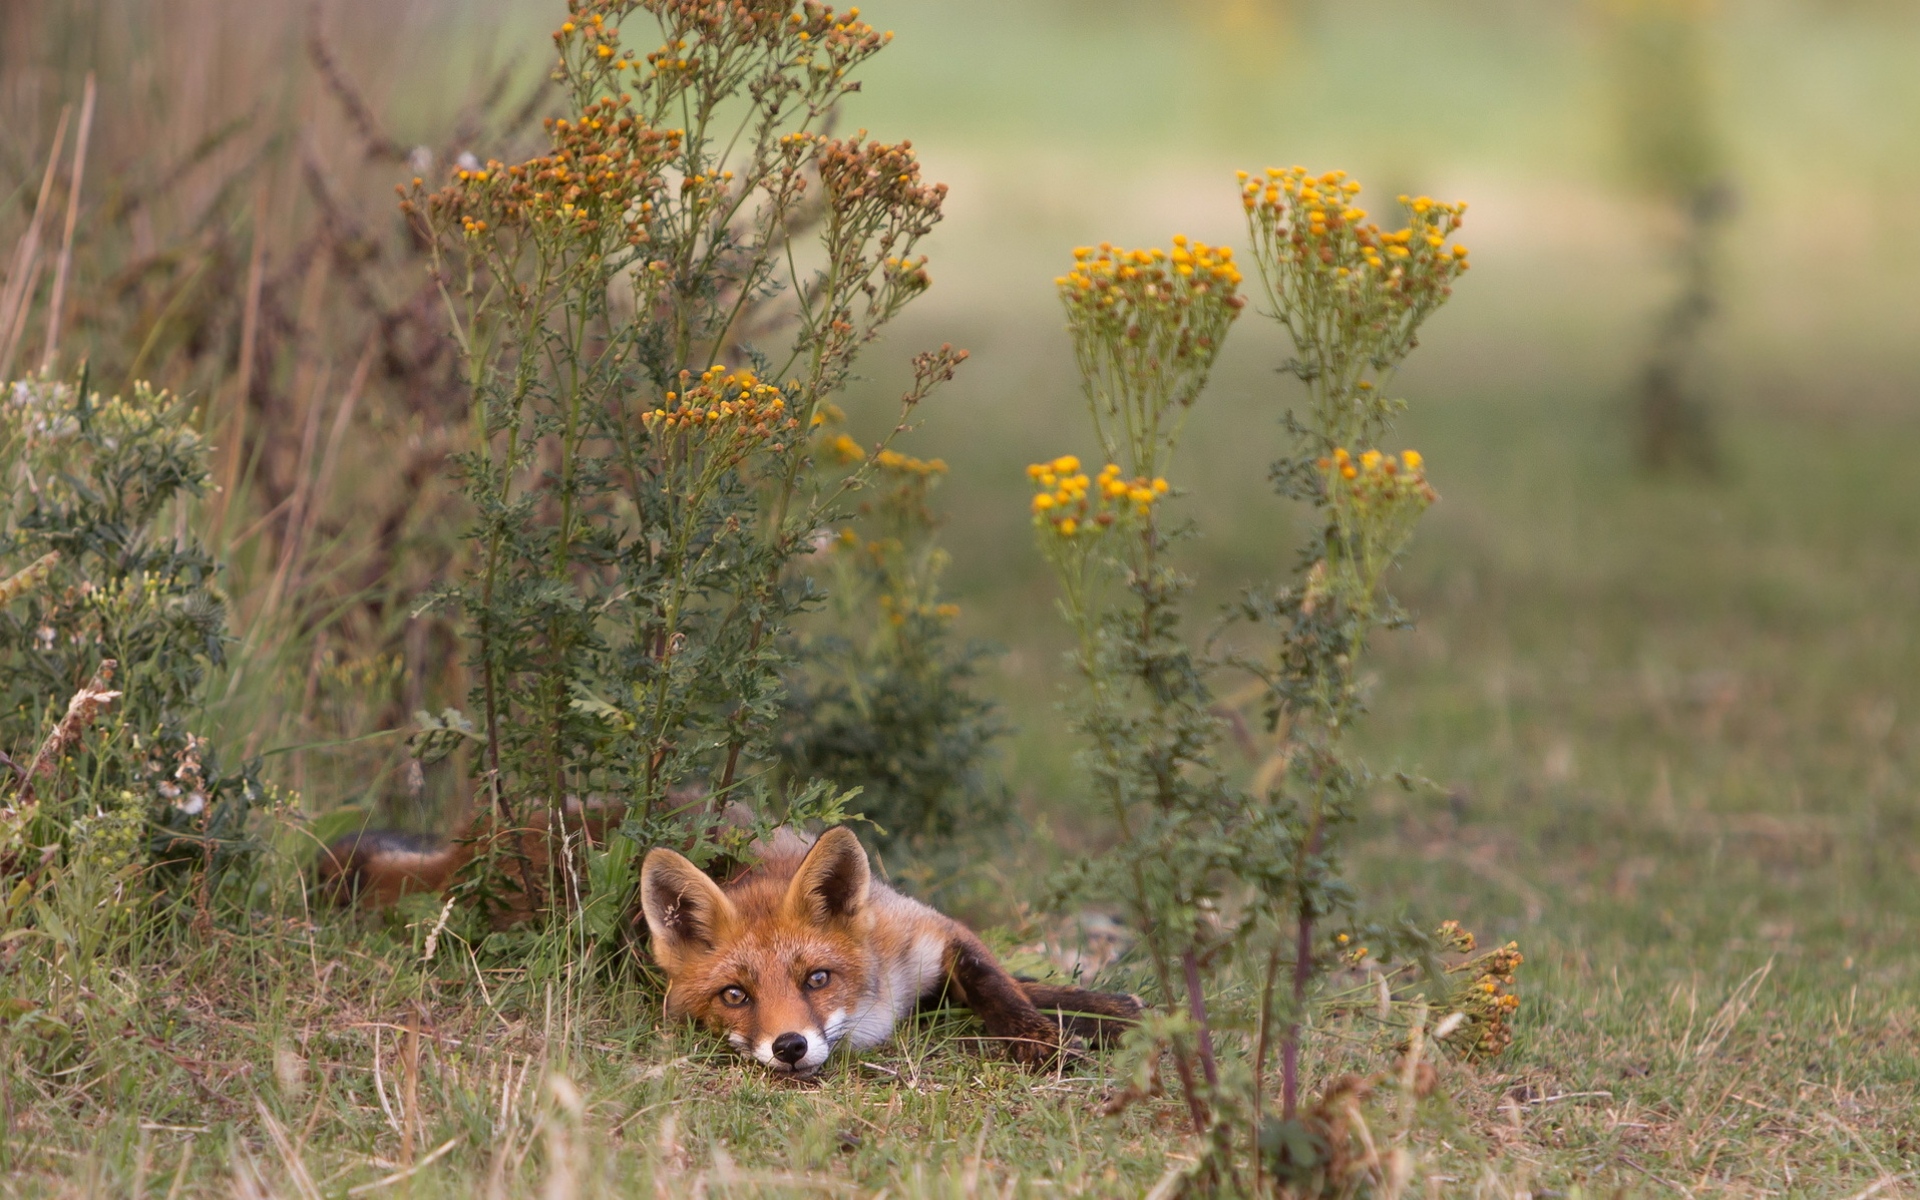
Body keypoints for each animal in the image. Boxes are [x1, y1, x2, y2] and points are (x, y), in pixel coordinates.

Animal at [639, 825, 1143, 1074]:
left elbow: (1000, 987)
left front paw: (1061, 1035)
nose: (790, 1047)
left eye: (817, 978)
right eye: (734, 995)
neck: (876, 1009)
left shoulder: (933, 930)